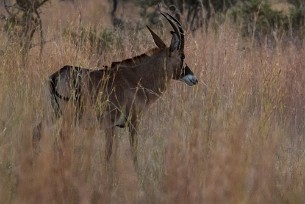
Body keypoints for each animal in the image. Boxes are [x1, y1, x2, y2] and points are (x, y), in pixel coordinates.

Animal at [33, 11, 198, 167]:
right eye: (182, 56)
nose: (194, 79)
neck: (137, 78)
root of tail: (56, 76)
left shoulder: (114, 127)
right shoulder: (129, 122)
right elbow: (125, 152)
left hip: (53, 114)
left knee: (37, 132)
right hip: (67, 116)